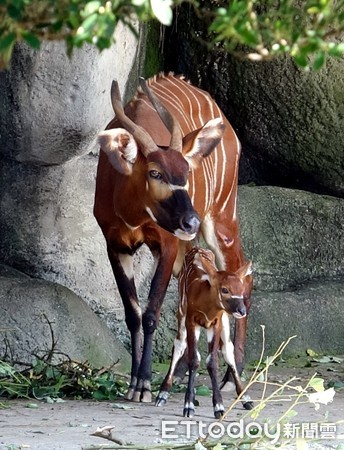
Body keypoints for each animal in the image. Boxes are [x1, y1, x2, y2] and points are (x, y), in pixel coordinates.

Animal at [156, 246, 253, 418]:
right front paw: (188, 406)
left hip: (224, 322)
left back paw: (246, 399)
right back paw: (162, 395)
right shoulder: (191, 320)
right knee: (179, 345)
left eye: (241, 289)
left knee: (228, 349)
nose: (242, 311)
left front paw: (219, 407)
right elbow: (194, 359)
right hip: (181, 314)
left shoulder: (216, 323)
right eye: (225, 289)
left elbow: (212, 362)